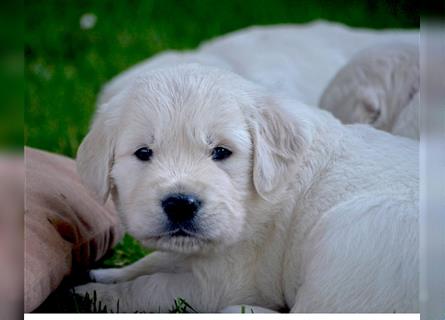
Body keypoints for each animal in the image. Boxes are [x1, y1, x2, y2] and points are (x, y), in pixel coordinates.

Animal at [74, 63, 418, 312]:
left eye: (221, 152)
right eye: (144, 152)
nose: (180, 204)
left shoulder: (222, 281)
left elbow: (151, 287)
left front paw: (92, 294)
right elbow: (155, 260)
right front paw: (107, 274)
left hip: (352, 231)